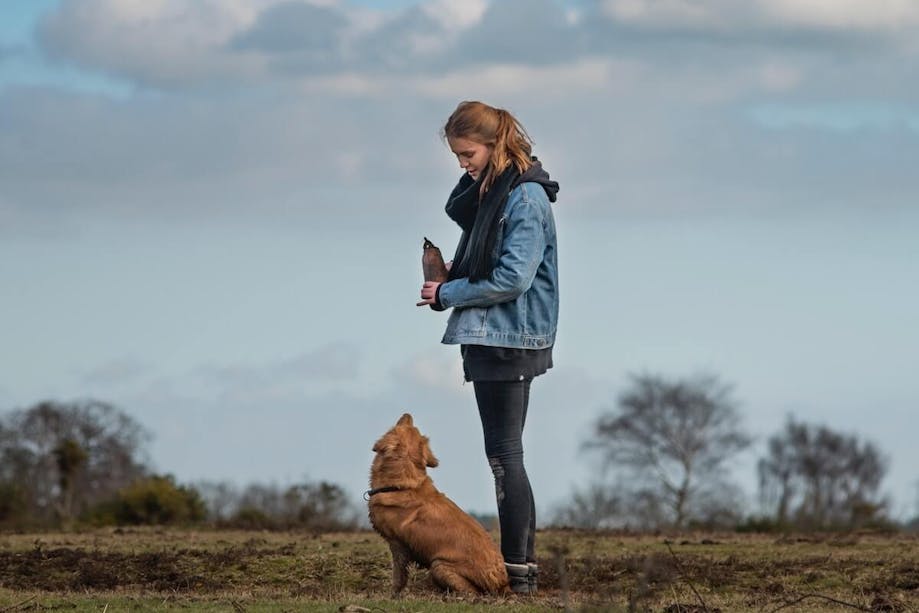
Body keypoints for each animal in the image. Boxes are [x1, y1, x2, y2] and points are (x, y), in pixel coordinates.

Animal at [366, 412, 510, 592]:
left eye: (402, 425)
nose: (408, 414)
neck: (400, 485)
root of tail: (503, 582)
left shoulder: (397, 543)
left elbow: (398, 576)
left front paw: (393, 594)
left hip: (439, 565)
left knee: (472, 592)